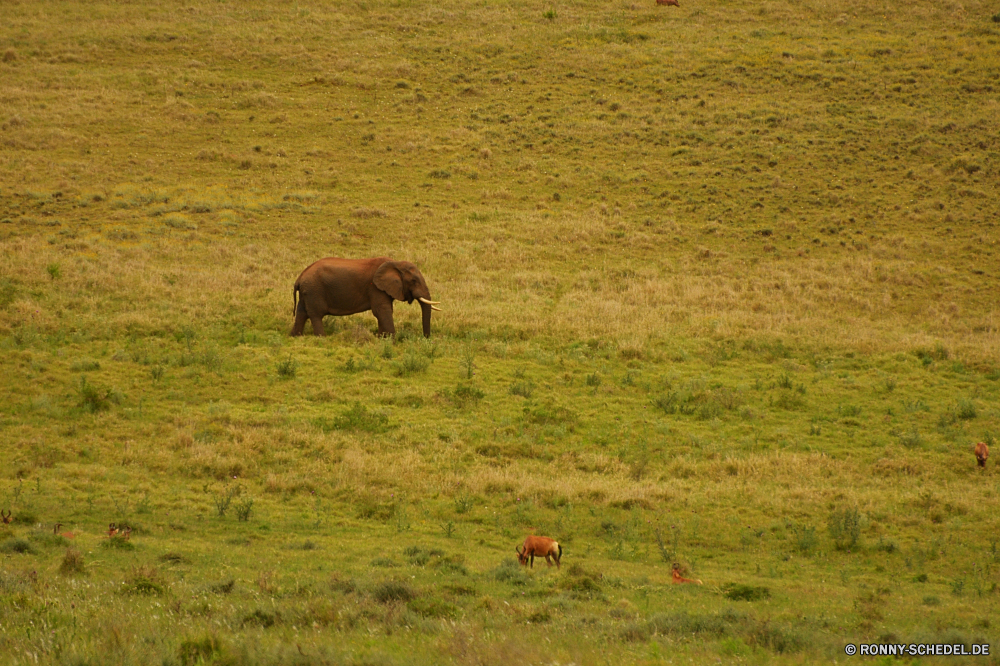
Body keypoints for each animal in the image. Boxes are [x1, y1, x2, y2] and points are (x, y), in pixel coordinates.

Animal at [292, 255, 442, 334]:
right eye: (413, 281)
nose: (426, 338)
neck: (395, 262)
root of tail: (300, 277)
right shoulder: (375, 288)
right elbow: (382, 311)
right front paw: (392, 343)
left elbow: (384, 312)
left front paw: (383, 339)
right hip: (314, 290)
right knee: (315, 315)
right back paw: (321, 339)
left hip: (307, 292)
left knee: (301, 313)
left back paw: (295, 336)